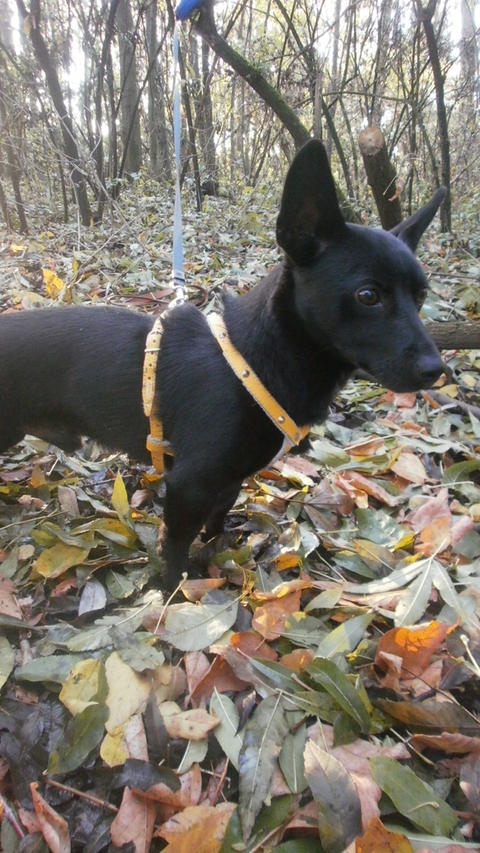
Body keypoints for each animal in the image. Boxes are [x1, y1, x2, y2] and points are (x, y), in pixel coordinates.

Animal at [0, 140, 444, 587]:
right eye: (368, 296)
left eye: (422, 295)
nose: (437, 370)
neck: (250, 363)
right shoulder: (188, 485)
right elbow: (174, 549)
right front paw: (174, 591)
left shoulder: (228, 481)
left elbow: (215, 523)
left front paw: (215, 554)